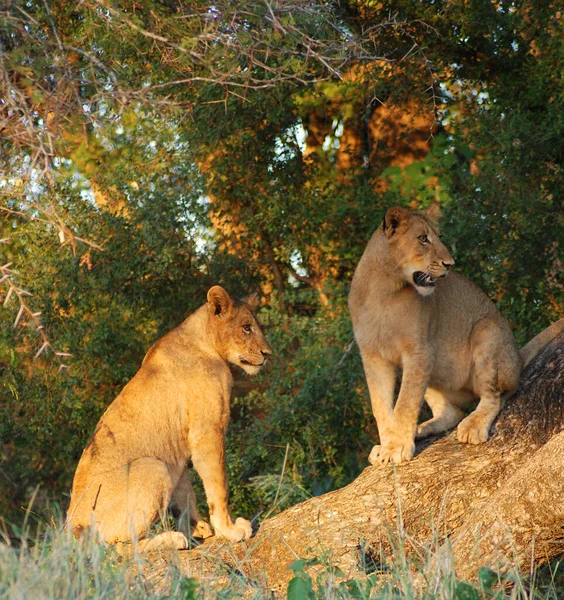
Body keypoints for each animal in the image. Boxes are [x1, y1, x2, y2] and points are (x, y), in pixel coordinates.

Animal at [66, 286, 274, 552]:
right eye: (246, 327)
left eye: (257, 326)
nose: (267, 354)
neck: (205, 342)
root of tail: (71, 530)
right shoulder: (207, 431)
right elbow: (218, 487)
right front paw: (228, 530)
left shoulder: (179, 448)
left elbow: (186, 493)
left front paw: (199, 527)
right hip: (153, 467)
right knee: (121, 549)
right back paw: (173, 539)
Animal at [348, 205, 564, 464]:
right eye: (423, 238)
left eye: (439, 236)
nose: (450, 264)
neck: (384, 290)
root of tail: (518, 357)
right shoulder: (373, 357)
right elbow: (380, 406)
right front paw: (387, 446)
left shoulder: (419, 350)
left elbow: (405, 403)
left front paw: (396, 447)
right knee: (452, 412)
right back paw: (421, 429)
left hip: (487, 330)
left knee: (496, 396)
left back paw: (473, 426)